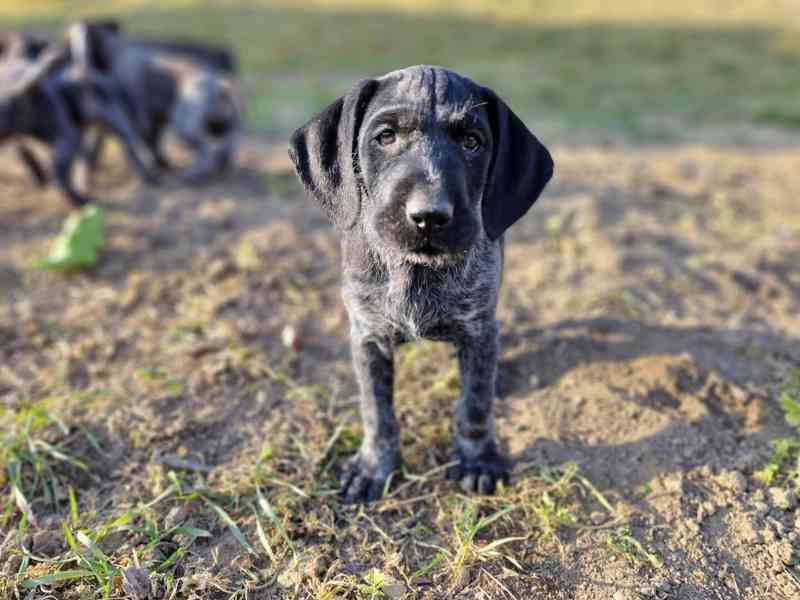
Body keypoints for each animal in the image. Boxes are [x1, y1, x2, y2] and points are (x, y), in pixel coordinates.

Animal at [290, 65, 556, 504]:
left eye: (471, 142)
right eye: (385, 137)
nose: (429, 216)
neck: (415, 271)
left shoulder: (478, 329)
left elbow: (475, 403)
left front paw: (477, 460)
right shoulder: (368, 335)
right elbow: (377, 411)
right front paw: (374, 467)